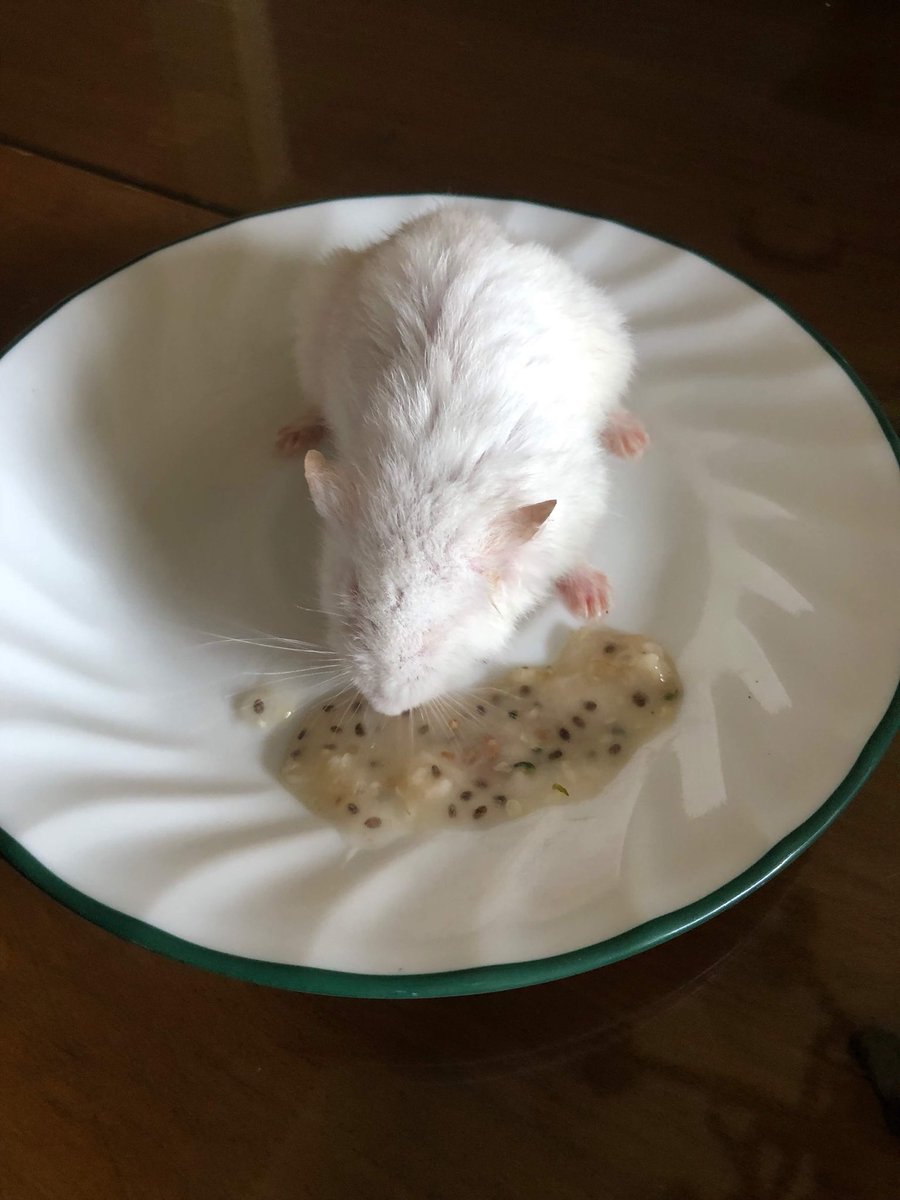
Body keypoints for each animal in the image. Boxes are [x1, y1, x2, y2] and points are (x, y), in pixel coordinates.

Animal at [279, 206, 647, 716]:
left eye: (450, 620)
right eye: (351, 591)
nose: (384, 707)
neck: (428, 488)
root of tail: (466, 214)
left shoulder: (580, 499)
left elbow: (572, 554)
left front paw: (594, 603)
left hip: (610, 335)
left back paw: (633, 439)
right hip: (314, 317)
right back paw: (291, 436)